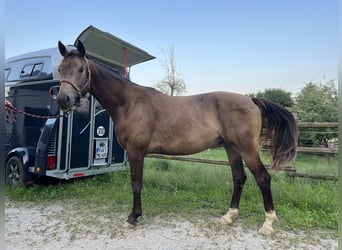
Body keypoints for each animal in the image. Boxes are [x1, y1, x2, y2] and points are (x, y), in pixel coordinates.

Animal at [55, 41, 296, 236]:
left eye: (81, 69)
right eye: (60, 69)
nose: (63, 99)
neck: (129, 102)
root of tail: (252, 100)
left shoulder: (136, 151)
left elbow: (136, 184)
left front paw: (133, 217)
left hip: (246, 148)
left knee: (263, 178)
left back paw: (267, 224)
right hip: (231, 148)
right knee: (239, 178)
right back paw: (229, 216)